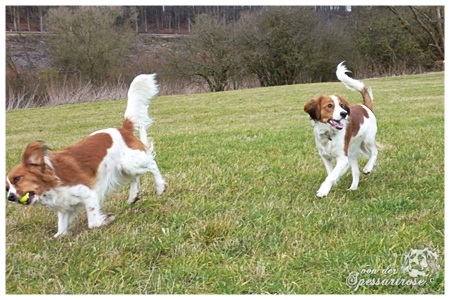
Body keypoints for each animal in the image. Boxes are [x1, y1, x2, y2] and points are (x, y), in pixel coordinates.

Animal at [4, 73, 167, 237]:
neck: (51, 184)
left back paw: (160, 187)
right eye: (6, 188)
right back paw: (133, 196)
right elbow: (61, 229)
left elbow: (93, 223)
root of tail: (123, 129)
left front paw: (106, 219)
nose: (10, 197)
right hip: (123, 170)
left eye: (17, 179)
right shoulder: (64, 208)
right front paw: (58, 236)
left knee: (152, 164)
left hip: (129, 164)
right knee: (135, 177)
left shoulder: (88, 194)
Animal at [304, 61, 378, 197]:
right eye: (329, 106)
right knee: (355, 171)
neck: (329, 134)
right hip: (352, 150)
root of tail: (365, 106)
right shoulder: (325, 157)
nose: (344, 113)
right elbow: (331, 173)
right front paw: (333, 182)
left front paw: (323, 190)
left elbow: (331, 175)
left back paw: (368, 168)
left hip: (368, 139)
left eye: (342, 105)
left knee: (374, 152)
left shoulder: (342, 157)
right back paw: (353, 187)